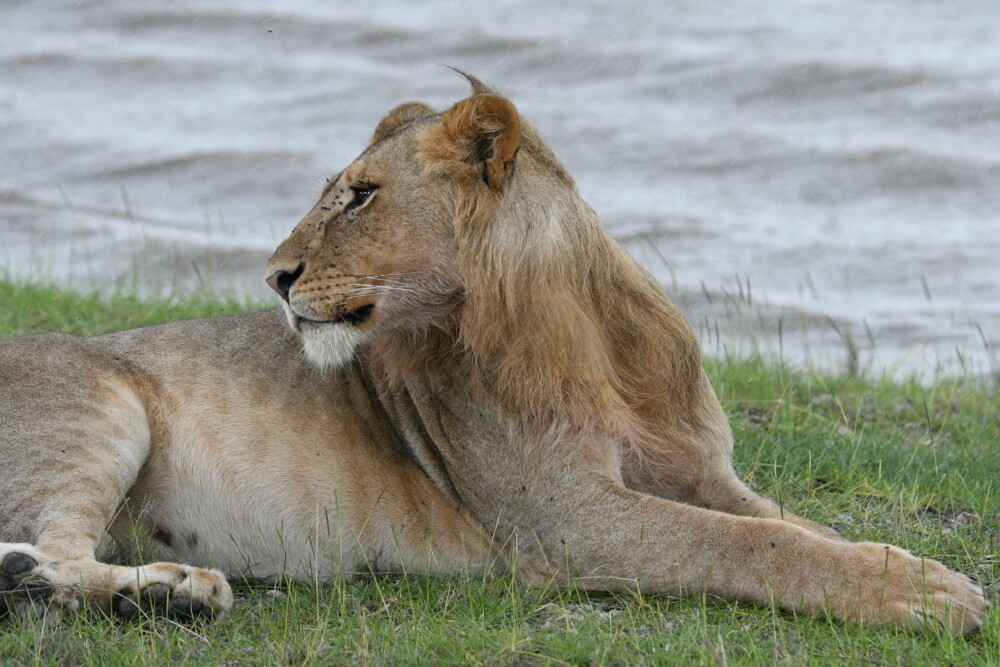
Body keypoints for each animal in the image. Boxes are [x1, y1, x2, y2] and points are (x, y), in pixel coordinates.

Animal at [0, 77, 986, 633]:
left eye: (359, 195)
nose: (275, 277)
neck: (583, 341)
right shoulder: (565, 520)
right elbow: (751, 545)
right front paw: (927, 594)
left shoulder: (701, 470)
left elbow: (795, 527)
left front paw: (908, 564)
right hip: (98, 407)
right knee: (49, 542)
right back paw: (159, 590)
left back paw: (140, 595)